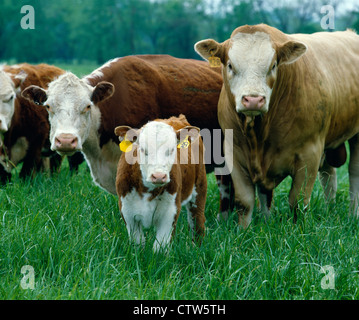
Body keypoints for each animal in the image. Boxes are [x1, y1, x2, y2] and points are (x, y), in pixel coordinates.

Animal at [114, 114, 207, 251]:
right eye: (143, 150)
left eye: (172, 150)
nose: (158, 176)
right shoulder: (127, 210)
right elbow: (137, 242)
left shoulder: (170, 212)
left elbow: (160, 246)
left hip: (200, 186)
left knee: (197, 221)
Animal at [195, 23, 359, 228]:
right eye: (230, 65)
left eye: (273, 66)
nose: (253, 100)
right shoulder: (234, 152)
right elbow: (245, 201)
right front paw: (245, 230)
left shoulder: (310, 152)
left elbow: (298, 201)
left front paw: (299, 230)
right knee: (329, 174)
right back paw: (330, 208)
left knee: (354, 173)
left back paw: (353, 214)